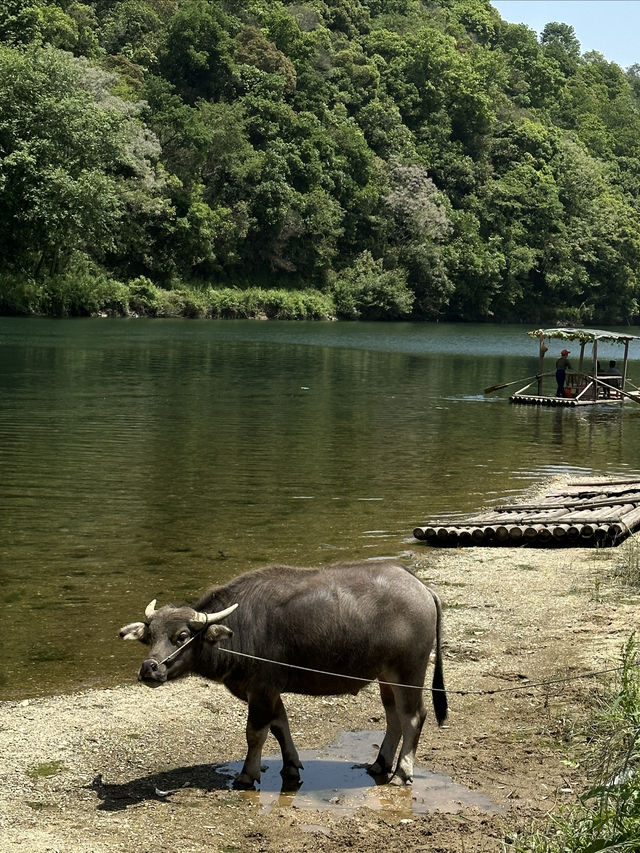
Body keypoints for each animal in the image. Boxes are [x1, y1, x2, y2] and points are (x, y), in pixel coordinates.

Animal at [120, 560, 444, 784]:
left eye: (182, 636)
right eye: (150, 636)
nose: (149, 669)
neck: (238, 632)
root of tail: (422, 588)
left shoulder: (261, 690)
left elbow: (255, 733)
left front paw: (247, 775)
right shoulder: (268, 690)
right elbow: (280, 725)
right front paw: (290, 766)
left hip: (409, 670)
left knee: (413, 716)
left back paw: (402, 773)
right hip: (385, 675)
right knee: (393, 717)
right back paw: (380, 763)